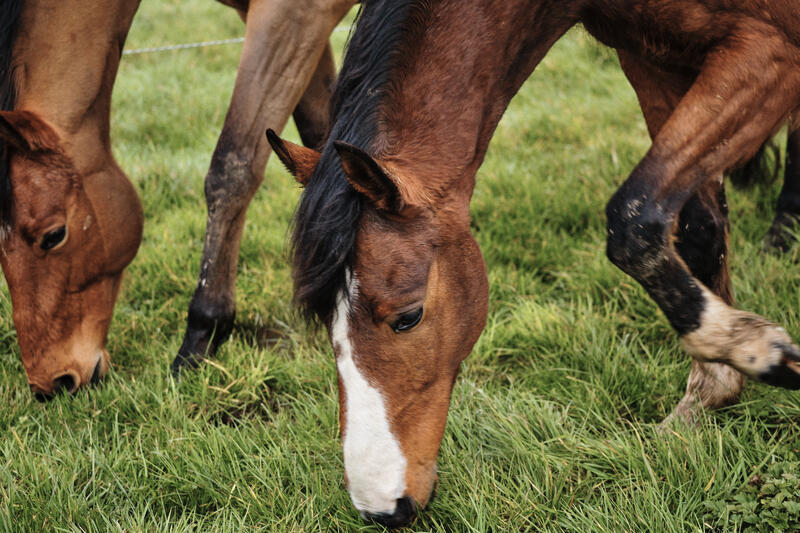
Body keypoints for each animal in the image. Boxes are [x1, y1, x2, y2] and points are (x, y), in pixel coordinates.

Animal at [268, 0, 800, 524]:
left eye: (408, 317)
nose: (380, 509)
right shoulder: (654, 62)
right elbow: (697, 229)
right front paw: (713, 390)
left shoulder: (770, 49)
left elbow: (634, 217)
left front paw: (759, 352)